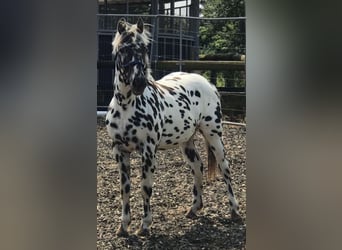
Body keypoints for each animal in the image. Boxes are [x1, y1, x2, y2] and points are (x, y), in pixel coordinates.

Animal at [105, 17, 242, 236]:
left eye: (144, 48)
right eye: (123, 49)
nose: (139, 83)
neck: (127, 105)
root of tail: (208, 84)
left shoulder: (148, 151)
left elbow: (145, 187)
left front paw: (144, 226)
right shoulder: (119, 151)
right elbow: (124, 189)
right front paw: (123, 227)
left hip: (213, 135)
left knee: (225, 168)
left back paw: (234, 211)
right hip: (187, 141)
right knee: (197, 166)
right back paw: (194, 209)